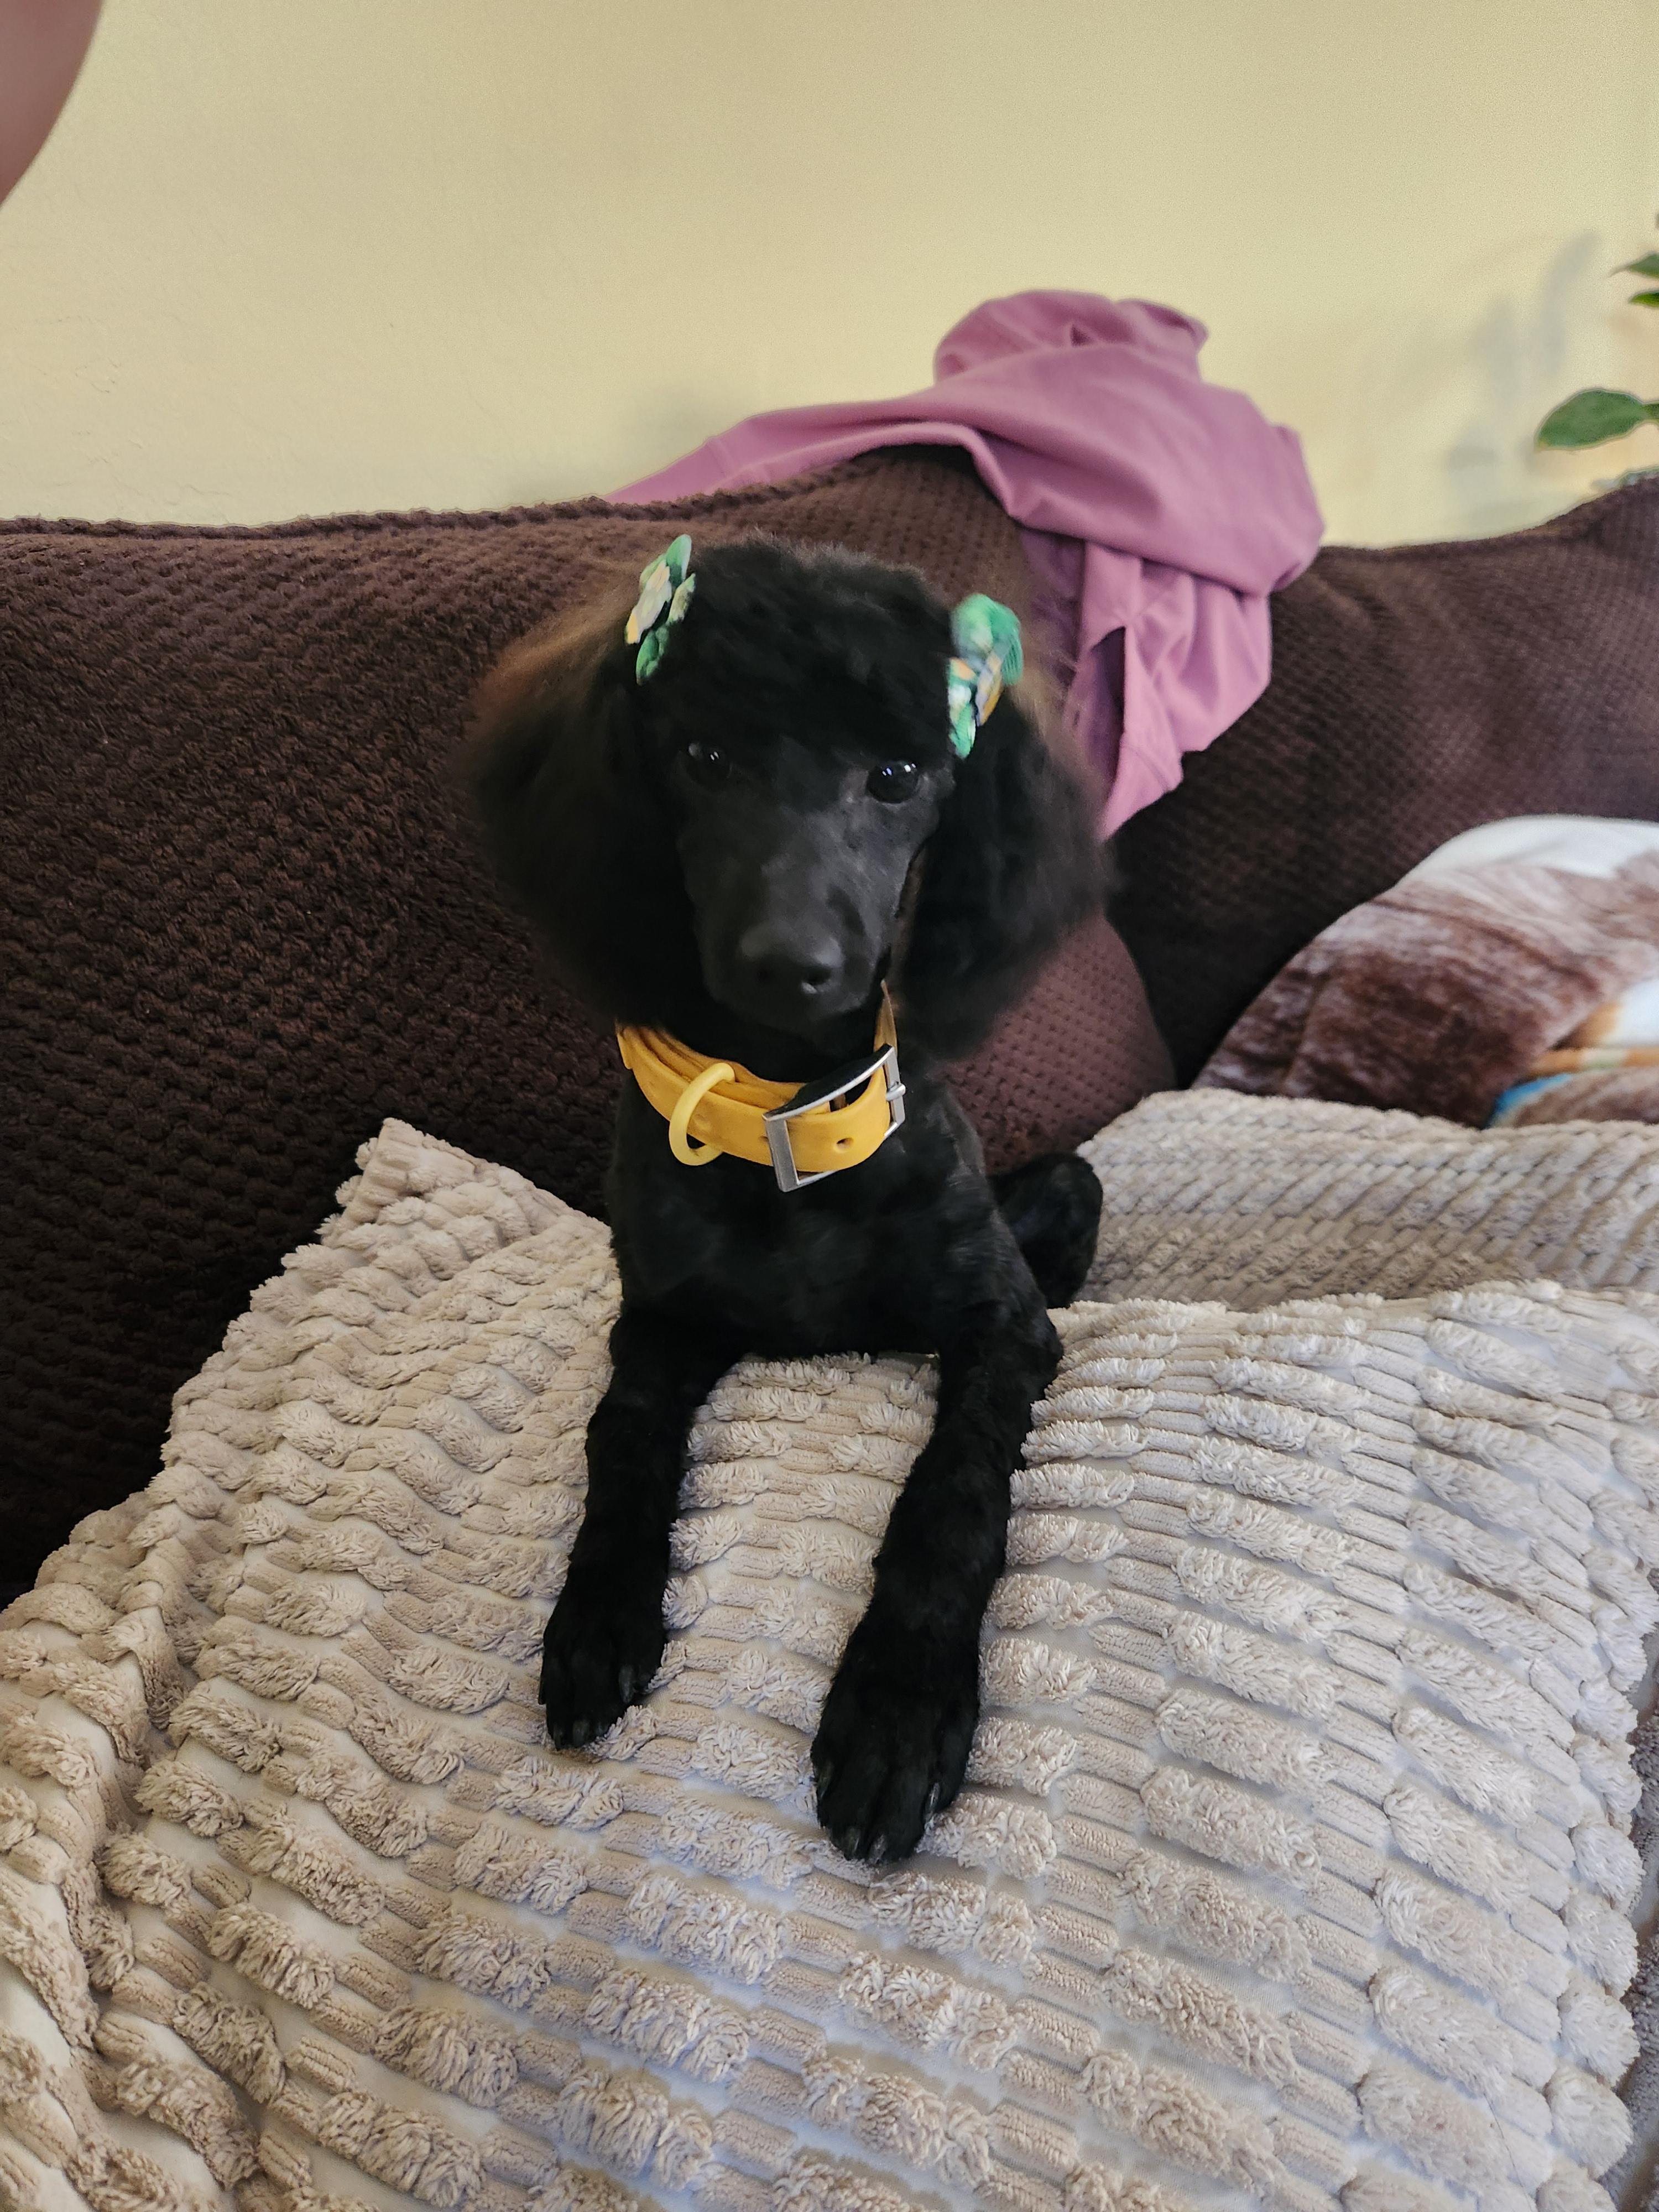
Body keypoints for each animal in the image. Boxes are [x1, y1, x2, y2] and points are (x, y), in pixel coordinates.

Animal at [468, 533, 1104, 1862]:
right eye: (704, 757)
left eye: (900, 775)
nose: (792, 966)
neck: (784, 1119)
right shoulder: (659, 1321)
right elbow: (622, 1441)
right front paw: (597, 1617)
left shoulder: (1003, 1324)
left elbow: (952, 1494)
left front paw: (900, 1706)